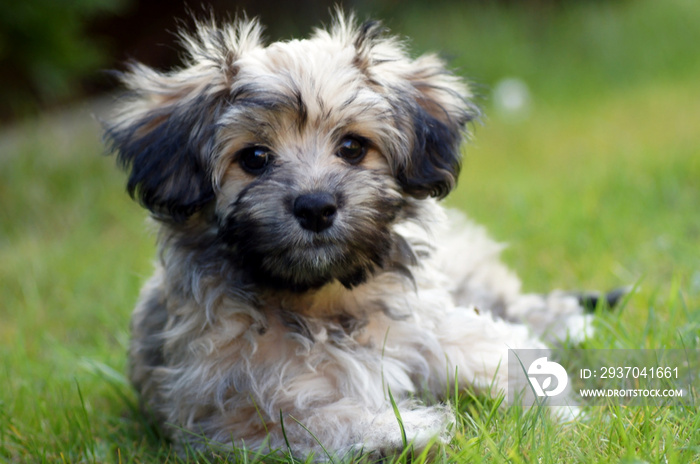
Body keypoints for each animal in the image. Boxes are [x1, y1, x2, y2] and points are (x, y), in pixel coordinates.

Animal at [106, 13, 600, 460]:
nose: (315, 207)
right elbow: (313, 420)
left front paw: (559, 415)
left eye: (352, 147)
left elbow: (501, 356)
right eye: (254, 158)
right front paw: (403, 432)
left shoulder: (433, 328)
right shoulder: (230, 414)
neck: (325, 302)